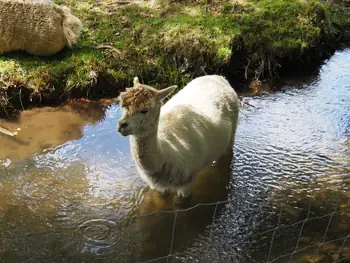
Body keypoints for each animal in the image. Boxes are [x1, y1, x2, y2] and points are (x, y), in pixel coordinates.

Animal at [117, 75, 241, 205]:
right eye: (122, 105)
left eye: (144, 110)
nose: (121, 126)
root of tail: (219, 77)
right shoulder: (158, 187)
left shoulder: (187, 182)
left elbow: (180, 205)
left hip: (232, 131)